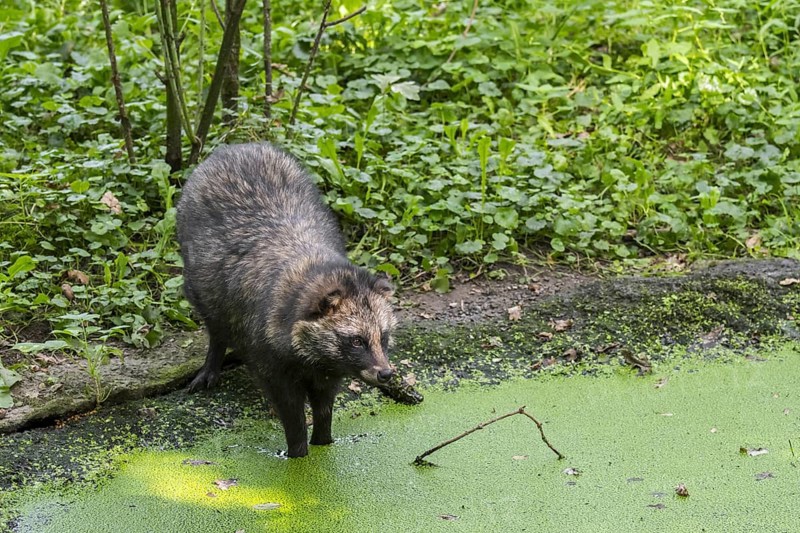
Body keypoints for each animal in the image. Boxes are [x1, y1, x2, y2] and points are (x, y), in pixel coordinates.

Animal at [176, 143, 397, 458]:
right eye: (357, 340)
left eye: (384, 336)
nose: (386, 373)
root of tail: (238, 146)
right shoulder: (268, 356)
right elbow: (289, 408)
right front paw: (297, 451)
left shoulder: (328, 369)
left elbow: (324, 404)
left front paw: (323, 439)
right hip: (196, 268)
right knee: (215, 319)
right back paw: (214, 355)